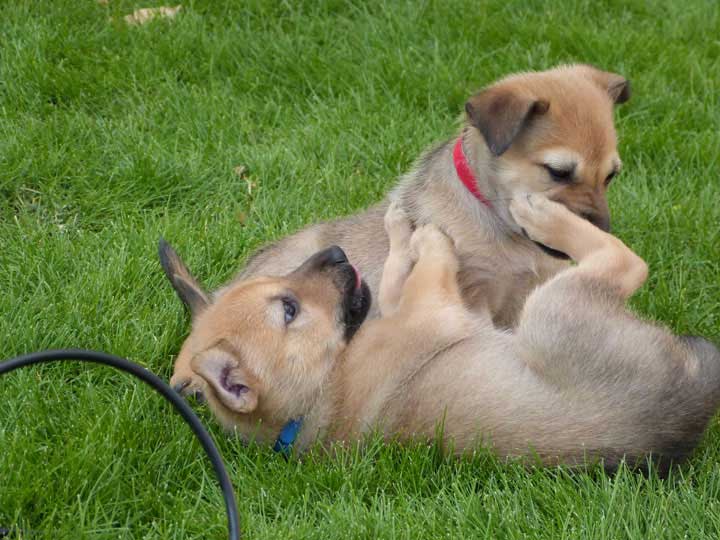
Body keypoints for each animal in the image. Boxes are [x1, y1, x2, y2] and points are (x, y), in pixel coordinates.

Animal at [160, 199, 720, 472]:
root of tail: (690, 402)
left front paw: (399, 231)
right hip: (552, 308)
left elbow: (393, 277)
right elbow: (427, 267)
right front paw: (425, 235)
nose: (337, 255)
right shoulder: (437, 307)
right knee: (626, 261)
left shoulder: (402, 304)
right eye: (289, 310)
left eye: (282, 289)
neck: (321, 387)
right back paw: (543, 214)